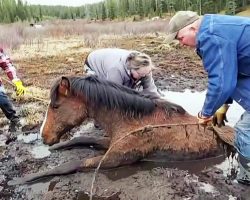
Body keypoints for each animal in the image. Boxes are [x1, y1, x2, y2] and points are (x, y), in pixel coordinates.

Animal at [7, 76, 234, 185]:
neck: (135, 121)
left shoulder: (113, 159)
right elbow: (81, 139)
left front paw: (22, 179)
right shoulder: (110, 143)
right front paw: (58, 147)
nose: (45, 137)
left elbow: (69, 165)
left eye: (55, 106)